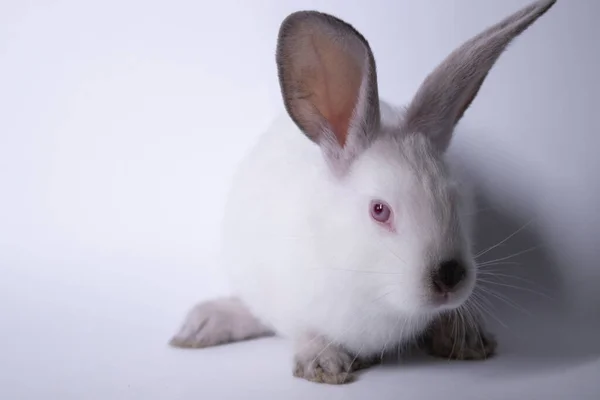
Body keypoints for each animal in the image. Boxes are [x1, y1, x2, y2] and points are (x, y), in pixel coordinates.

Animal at [171, 0, 560, 382]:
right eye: (379, 210)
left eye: (454, 198)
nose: (449, 277)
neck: (375, 289)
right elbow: (305, 331)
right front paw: (323, 363)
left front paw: (464, 337)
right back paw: (202, 326)